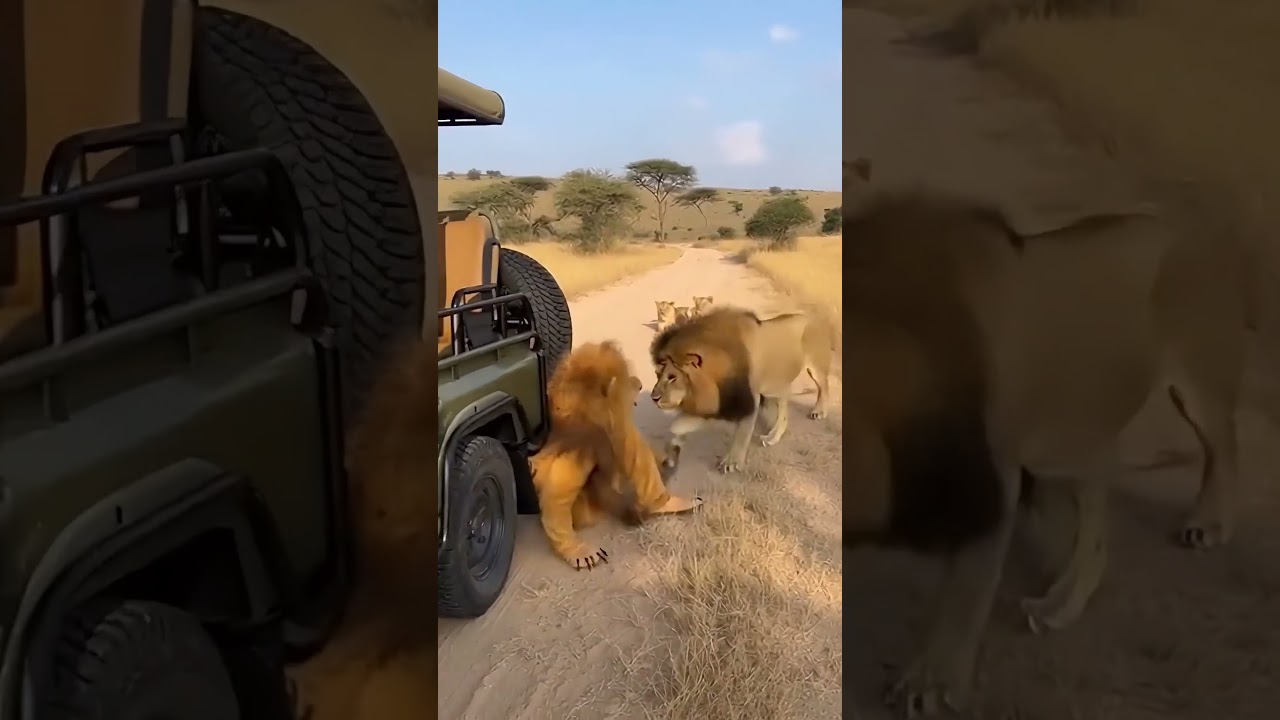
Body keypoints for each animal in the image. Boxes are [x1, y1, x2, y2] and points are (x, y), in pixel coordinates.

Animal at [649, 305, 834, 474]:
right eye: (658, 374)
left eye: (672, 377)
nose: (654, 398)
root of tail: (816, 318)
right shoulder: (717, 402)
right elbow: (682, 424)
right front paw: (673, 446)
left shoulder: (749, 399)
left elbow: (742, 433)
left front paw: (731, 462)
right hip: (776, 386)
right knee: (784, 413)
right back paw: (772, 438)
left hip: (815, 367)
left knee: (824, 387)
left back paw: (819, 411)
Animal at [840, 190, 1247, 717]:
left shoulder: (995, 476)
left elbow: (966, 589)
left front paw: (931, 683)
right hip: (1076, 434)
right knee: (1096, 525)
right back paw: (1060, 606)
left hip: (1197, 377)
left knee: (1224, 444)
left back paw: (1210, 522)